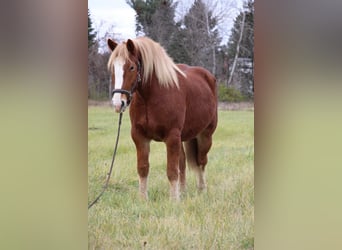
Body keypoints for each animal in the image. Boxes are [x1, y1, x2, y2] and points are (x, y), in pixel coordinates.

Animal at [108, 36, 218, 200]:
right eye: (113, 68)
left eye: (132, 67)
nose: (117, 103)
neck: (152, 96)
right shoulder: (139, 137)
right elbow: (143, 168)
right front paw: (143, 199)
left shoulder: (172, 137)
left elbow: (172, 171)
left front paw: (173, 200)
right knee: (183, 162)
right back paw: (183, 192)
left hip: (205, 135)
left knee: (201, 161)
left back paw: (202, 190)